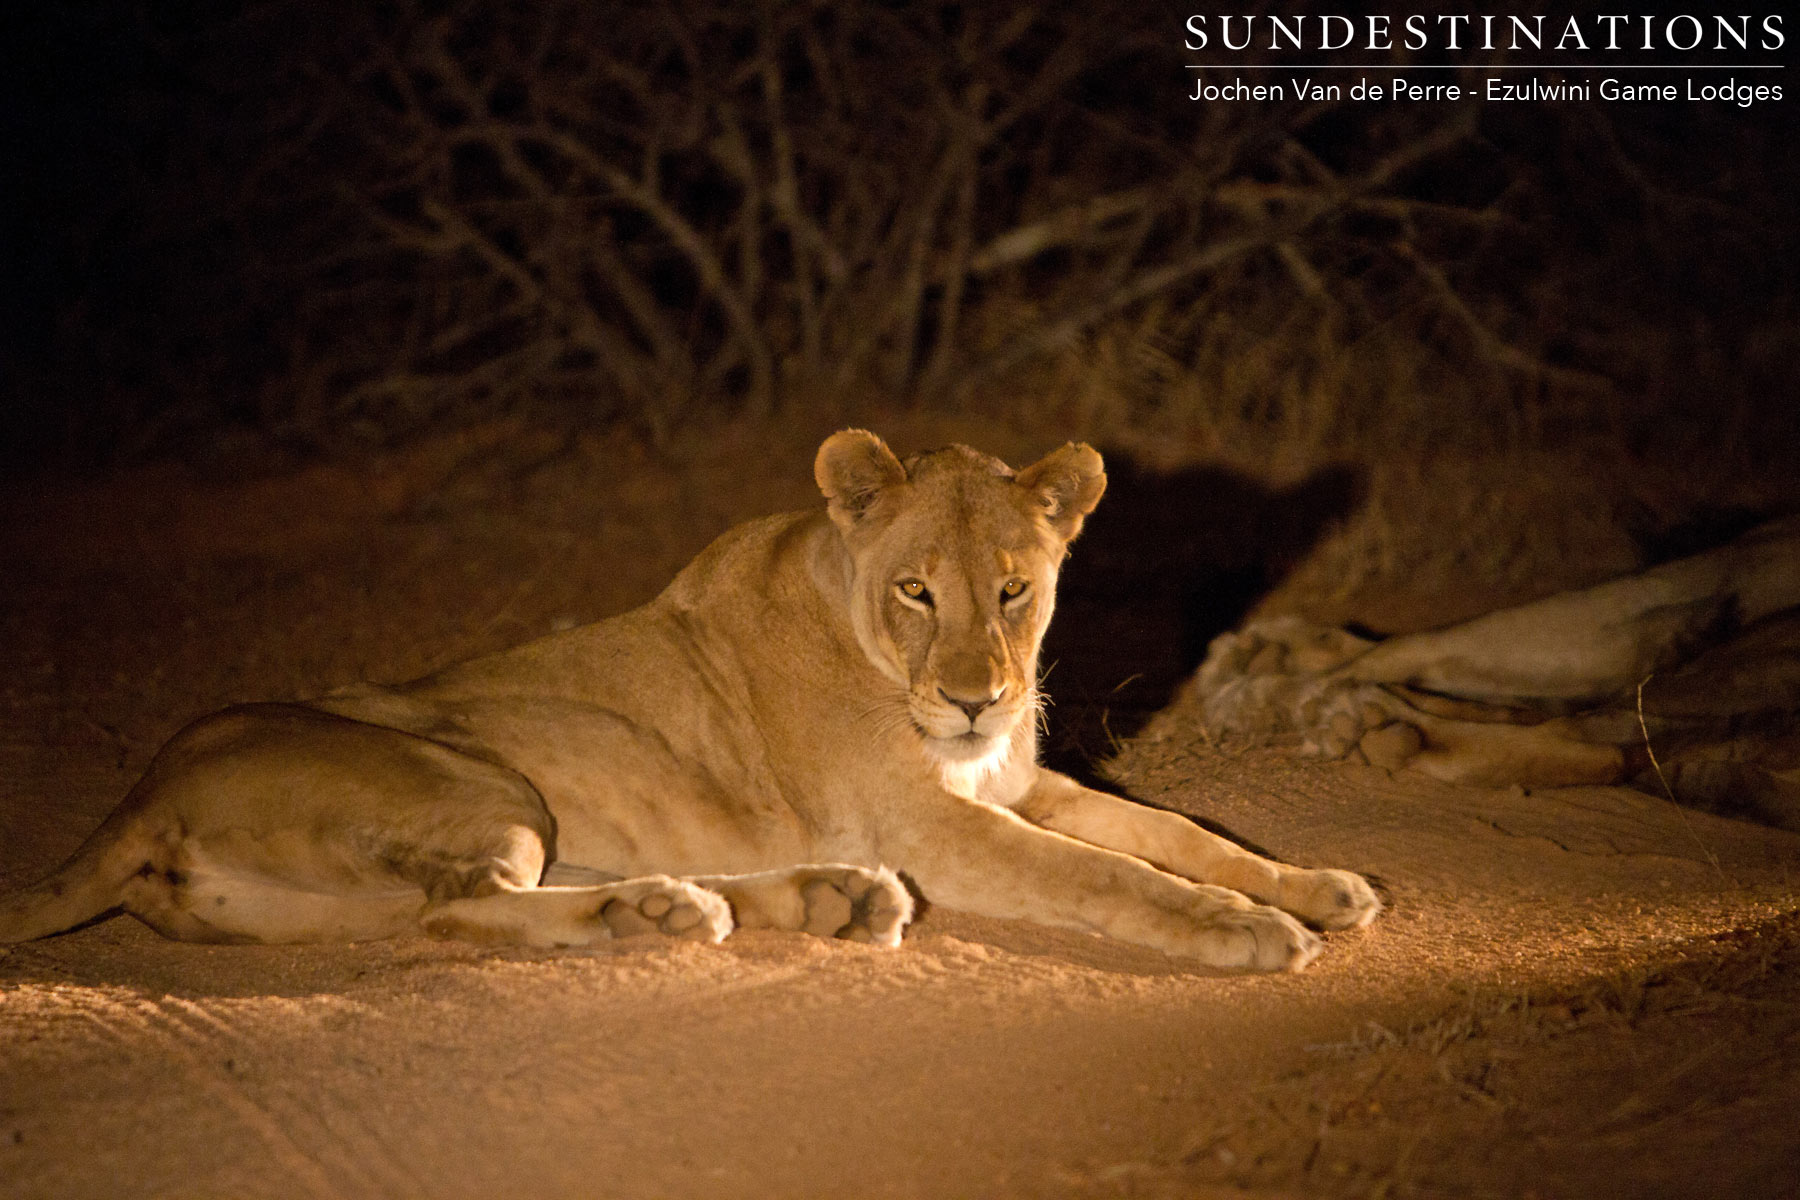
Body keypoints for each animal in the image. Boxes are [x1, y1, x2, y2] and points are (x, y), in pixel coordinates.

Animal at [0, 431, 1380, 971]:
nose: (978, 701)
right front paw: (1250, 931)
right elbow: (1113, 874)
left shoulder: (1016, 783)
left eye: (1014, 588)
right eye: (918, 591)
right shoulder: (935, 821)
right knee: (457, 916)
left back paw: (804, 902)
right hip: (488, 784)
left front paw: (1317, 885)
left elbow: (1172, 831)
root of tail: (137, 796)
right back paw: (687, 911)